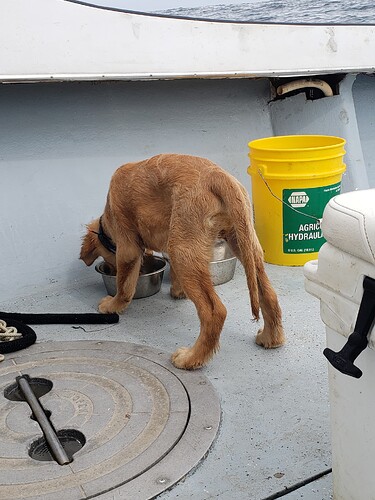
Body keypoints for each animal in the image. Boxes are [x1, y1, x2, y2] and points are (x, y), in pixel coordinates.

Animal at [80, 154, 284, 370]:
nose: (109, 269)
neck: (108, 217)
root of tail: (218, 176)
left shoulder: (128, 248)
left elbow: (124, 286)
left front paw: (113, 305)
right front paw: (178, 292)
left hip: (183, 250)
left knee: (214, 311)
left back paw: (191, 358)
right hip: (242, 242)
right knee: (268, 294)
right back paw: (271, 338)